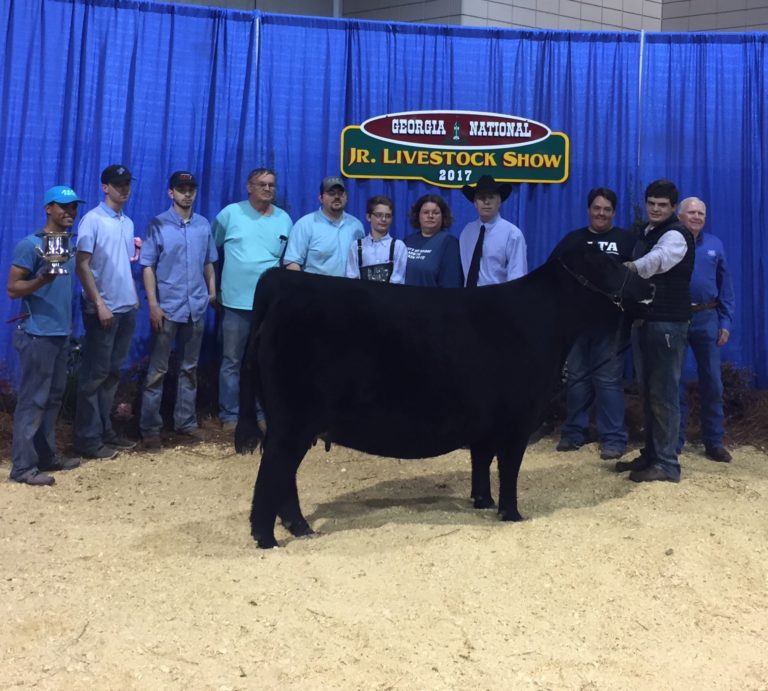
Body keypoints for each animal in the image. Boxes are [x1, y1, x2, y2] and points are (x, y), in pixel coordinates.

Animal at [237, 251, 652, 548]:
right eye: (609, 263)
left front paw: (483, 502)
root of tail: (283, 281)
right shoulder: (517, 420)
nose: (649, 288)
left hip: (292, 421)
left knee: (284, 475)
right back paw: (266, 538)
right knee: (273, 470)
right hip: (293, 419)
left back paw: (300, 528)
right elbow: (509, 468)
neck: (542, 320)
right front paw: (511, 513)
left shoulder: (486, 422)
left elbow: (481, 461)